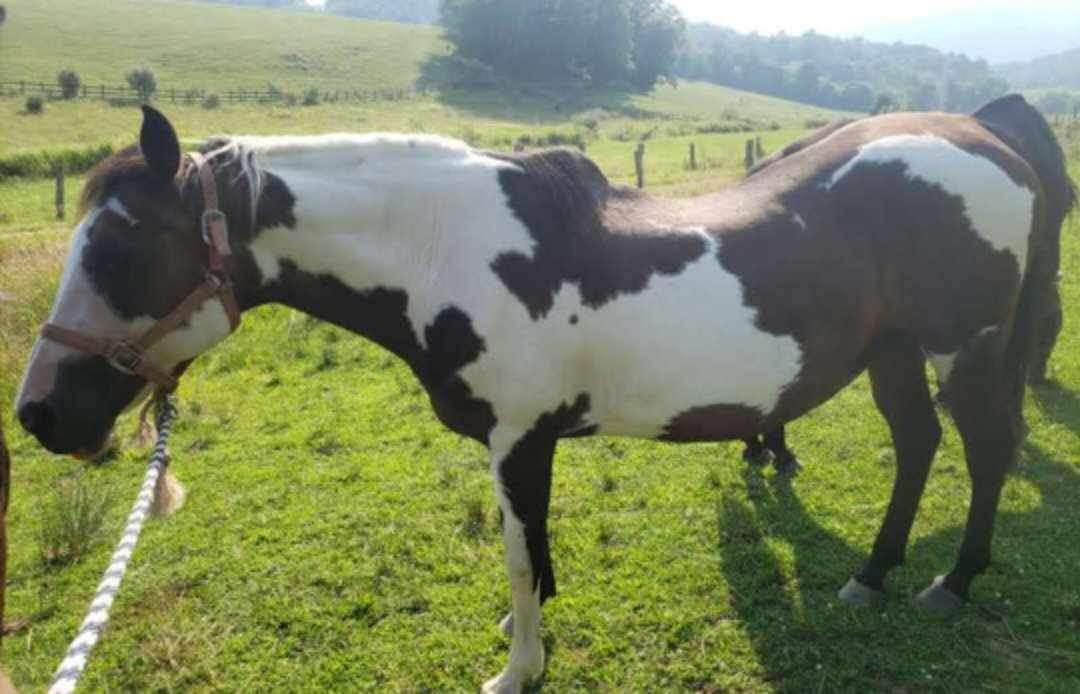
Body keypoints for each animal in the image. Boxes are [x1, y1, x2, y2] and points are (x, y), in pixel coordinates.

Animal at [14, 99, 1071, 694]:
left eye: (120, 249)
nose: (40, 414)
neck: (450, 247)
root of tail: (990, 141)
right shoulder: (528, 444)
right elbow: (536, 553)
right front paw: (521, 640)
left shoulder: (520, 439)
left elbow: (523, 556)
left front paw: (516, 668)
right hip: (894, 350)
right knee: (918, 445)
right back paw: (874, 575)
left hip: (963, 348)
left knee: (984, 449)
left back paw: (951, 581)